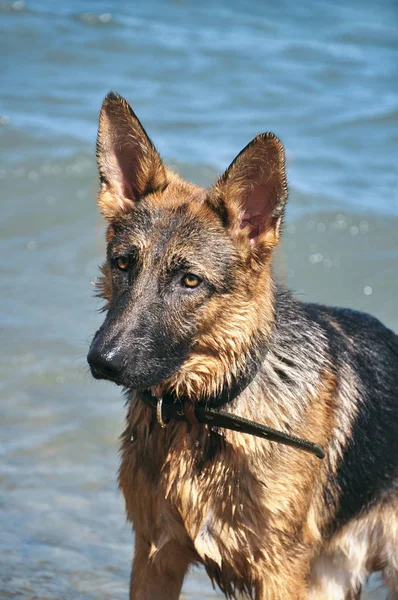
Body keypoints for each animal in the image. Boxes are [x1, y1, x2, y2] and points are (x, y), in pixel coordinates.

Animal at [87, 91, 398, 596]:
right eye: (123, 264)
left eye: (190, 280)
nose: (102, 361)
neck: (203, 412)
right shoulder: (154, 556)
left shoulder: (278, 572)